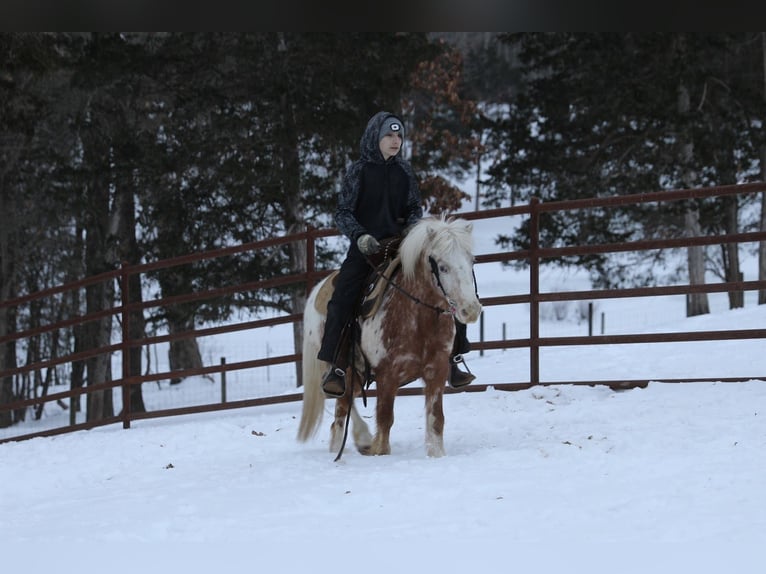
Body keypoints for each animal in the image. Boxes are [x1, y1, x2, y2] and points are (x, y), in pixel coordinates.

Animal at [296, 215, 482, 458]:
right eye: (442, 267)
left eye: (472, 261)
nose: (471, 310)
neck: (417, 317)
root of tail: (318, 289)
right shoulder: (387, 376)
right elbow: (384, 425)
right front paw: (376, 448)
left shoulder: (437, 371)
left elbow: (436, 421)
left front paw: (436, 454)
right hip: (344, 370)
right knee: (342, 407)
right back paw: (359, 438)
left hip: (357, 374)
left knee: (340, 413)